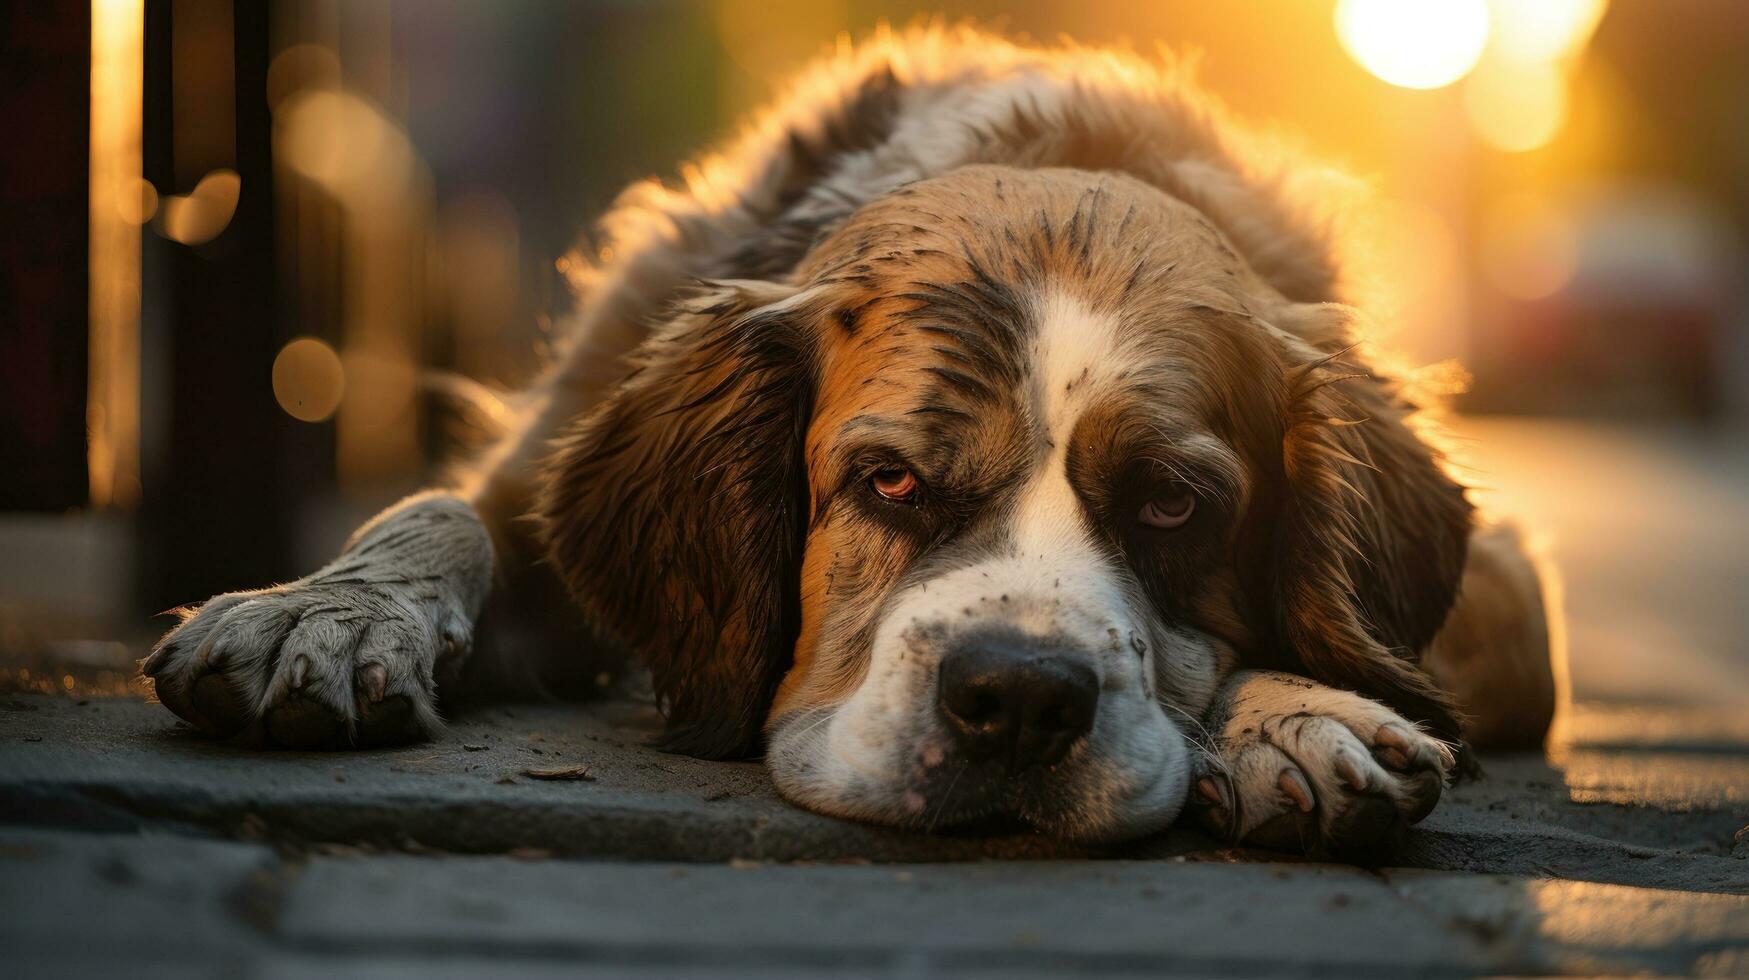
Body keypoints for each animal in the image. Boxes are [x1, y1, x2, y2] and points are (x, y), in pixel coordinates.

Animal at [139, 28, 1560, 857]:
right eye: (887, 479)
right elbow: (444, 514)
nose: (1020, 698)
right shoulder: (554, 458)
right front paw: (324, 609)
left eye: (1171, 506)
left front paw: (1298, 714)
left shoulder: (1503, 590)